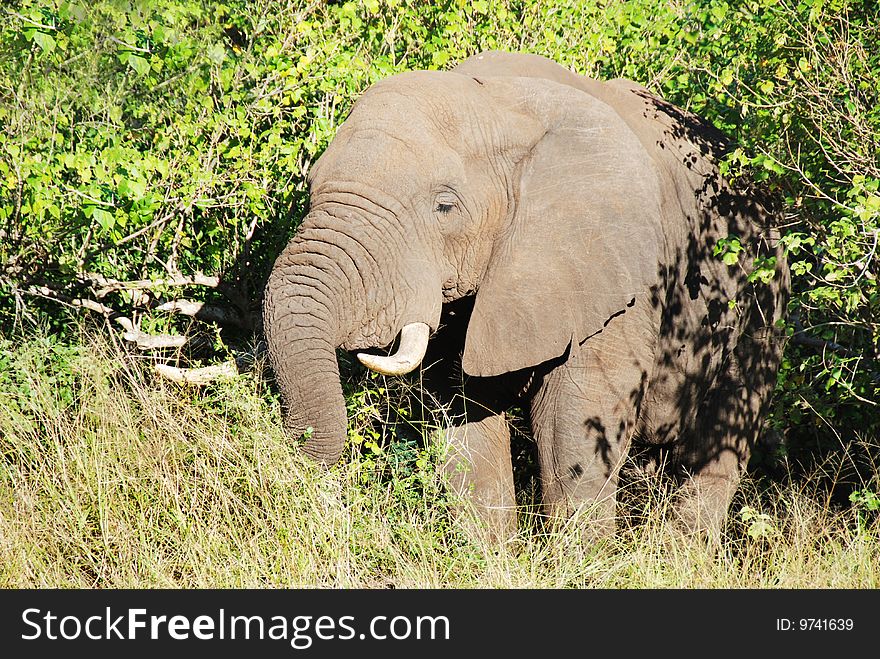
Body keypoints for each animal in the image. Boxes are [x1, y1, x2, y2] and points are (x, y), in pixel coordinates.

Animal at [262, 49, 792, 540]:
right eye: (310, 185)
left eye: (445, 206)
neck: (496, 102)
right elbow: (460, 416)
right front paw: (486, 558)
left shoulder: (614, 277)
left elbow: (576, 421)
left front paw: (579, 564)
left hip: (765, 303)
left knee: (721, 440)